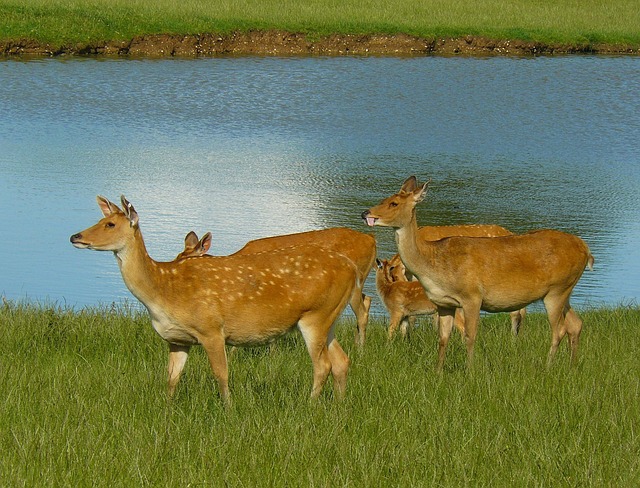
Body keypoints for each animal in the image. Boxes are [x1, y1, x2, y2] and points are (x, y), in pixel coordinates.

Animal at [72, 195, 360, 404]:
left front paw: (228, 408)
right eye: (101, 219)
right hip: (329, 317)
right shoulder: (176, 339)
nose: (75, 236)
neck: (163, 293)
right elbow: (172, 377)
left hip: (315, 315)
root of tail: (352, 268)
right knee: (341, 361)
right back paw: (340, 405)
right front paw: (167, 409)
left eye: (109, 224)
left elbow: (221, 374)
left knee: (323, 364)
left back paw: (310, 404)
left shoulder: (211, 328)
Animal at [362, 176, 592, 370]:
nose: (365, 213)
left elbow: (470, 336)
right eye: (384, 198)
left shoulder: (472, 296)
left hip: (557, 290)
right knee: (576, 323)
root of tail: (586, 251)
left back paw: (548, 367)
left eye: (394, 203)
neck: (434, 264)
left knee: (558, 329)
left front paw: (470, 372)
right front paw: (438, 373)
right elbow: (443, 338)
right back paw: (572, 367)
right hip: (565, 290)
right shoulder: (443, 303)